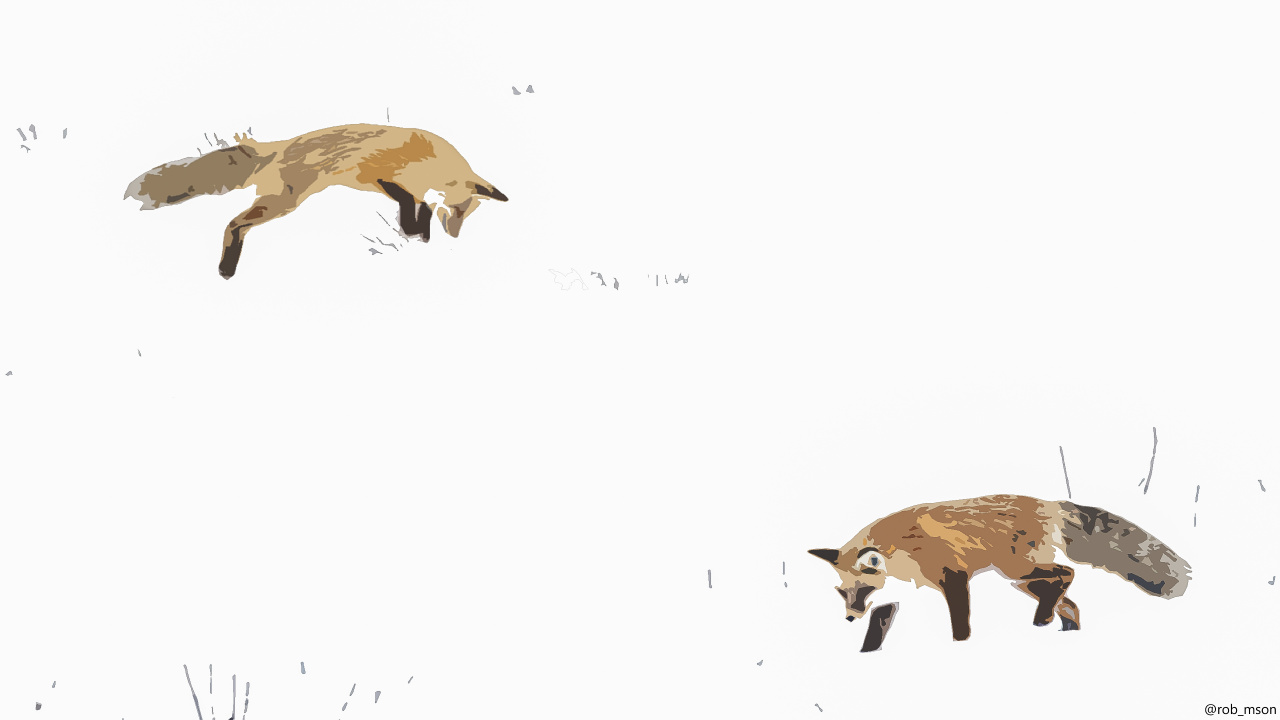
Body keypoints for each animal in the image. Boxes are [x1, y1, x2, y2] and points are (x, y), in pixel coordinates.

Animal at [123, 124, 509, 278]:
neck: (431, 163)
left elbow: (421, 211)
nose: (456, 236)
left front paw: (420, 233)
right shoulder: (379, 176)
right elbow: (413, 208)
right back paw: (226, 269)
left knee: (237, 224)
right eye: (459, 210)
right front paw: (417, 231)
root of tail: (275, 146)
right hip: (284, 202)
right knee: (233, 224)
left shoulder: (400, 189)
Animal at [808, 494, 1191, 647]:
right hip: (1019, 579)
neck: (902, 552)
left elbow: (960, 626)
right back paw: (1062, 630)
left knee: (1067, 573)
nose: (849, 618)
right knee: (1070, 602)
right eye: (842, 593)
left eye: (863, 590)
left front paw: (960, 649)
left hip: (1019, 569)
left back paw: (1044, 619)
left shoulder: (953, 578)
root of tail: (1047, 503)